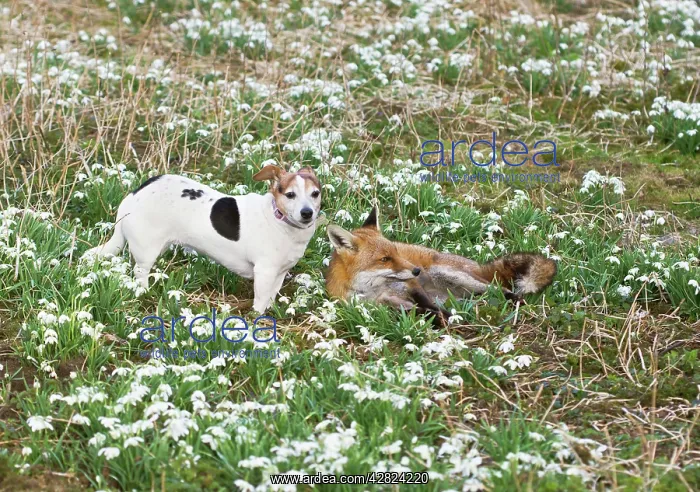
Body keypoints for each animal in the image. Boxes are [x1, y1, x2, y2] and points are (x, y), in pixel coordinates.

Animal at [325, 208, 557, 325]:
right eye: (385, 259)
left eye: (396, 252)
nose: (416, 270)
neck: (373, 289)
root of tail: (476, 266)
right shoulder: (388, 305)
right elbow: (421, 312)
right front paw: (441, 318)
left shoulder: (411, 287)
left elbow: (428, 305)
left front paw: (447, 318)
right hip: (459, 294)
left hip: (453, 275)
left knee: (503, 290)